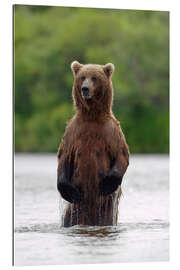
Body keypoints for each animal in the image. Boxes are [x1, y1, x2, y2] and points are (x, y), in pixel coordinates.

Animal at [57, 61, 129, 228]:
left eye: (94, 77)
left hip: (106, 209)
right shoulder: (73, 132)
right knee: (68, 218)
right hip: (74, 210)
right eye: (82, 77)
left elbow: (122, 154)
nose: (85, 88)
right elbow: (64, 157)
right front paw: (68, 191)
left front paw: (107, 183)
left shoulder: (112, 131)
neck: (92, 116)